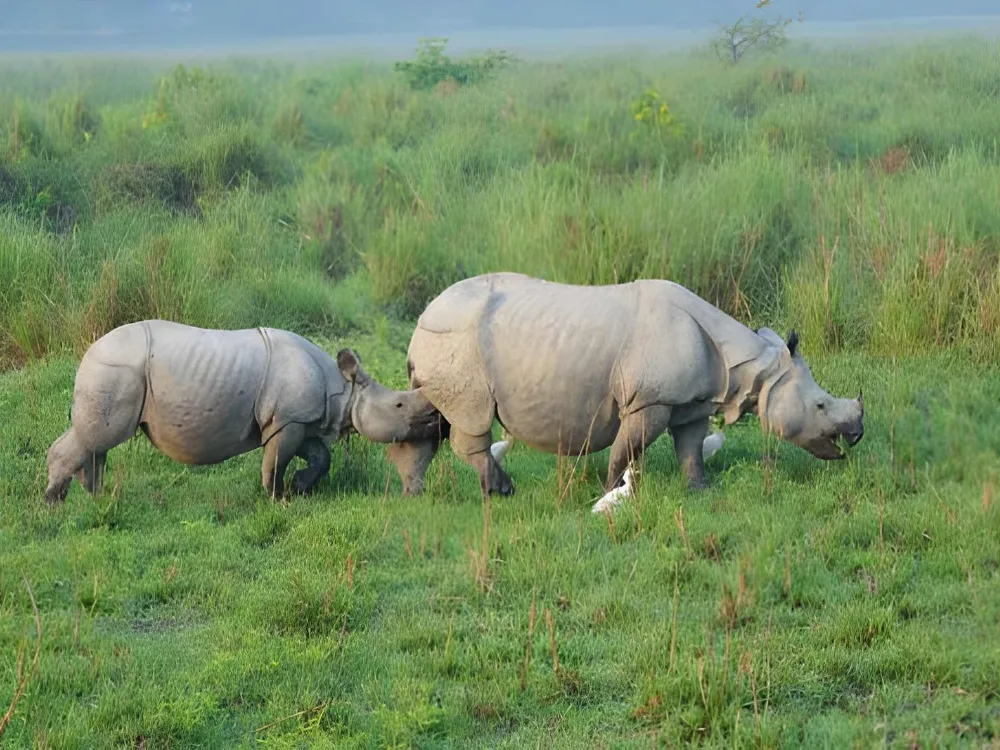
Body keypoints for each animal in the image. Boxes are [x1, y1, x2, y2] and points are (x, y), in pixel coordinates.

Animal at [44, 320, 444, 505]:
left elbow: (320, 457)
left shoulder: (298, 419)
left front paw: (299, 488)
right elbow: (275, 461)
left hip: (113, 370)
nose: (436, 420)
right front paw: (276, 498)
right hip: (116, 369)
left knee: (95, 441)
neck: (343, 389)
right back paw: (54, 504)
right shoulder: (287, 420)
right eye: (399, 405)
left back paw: (95, 498)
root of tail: (88, 351)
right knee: (98, 437)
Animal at [386, 272, 865, 498]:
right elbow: (629, 446)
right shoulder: (649, 400)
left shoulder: (690, 400)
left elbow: (691, 447)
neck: (752, 366)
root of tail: (421, 317)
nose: (858, 434)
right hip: (455, 340)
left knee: (433, 415)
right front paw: (612, 489)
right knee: (471, 417)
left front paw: (701, 489)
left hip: (443, 341)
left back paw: (428, 490)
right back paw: (500, 492)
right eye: (821, 406)